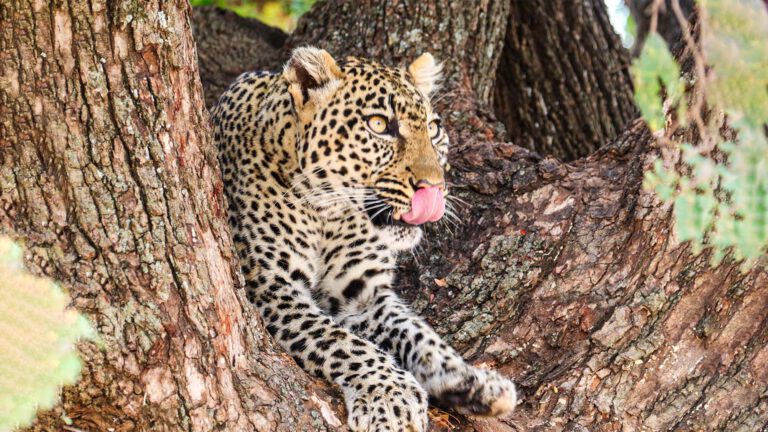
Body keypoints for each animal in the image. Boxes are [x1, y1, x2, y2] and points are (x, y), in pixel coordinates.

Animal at [211, 47, 517, 431]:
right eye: (379, 125)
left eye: (433, 129)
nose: (435, 187)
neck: (330, 216)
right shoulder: (271, 287)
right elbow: (342, 342)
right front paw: (392, 395)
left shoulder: (362, 293)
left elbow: (418, 333)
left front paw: (472, 380)